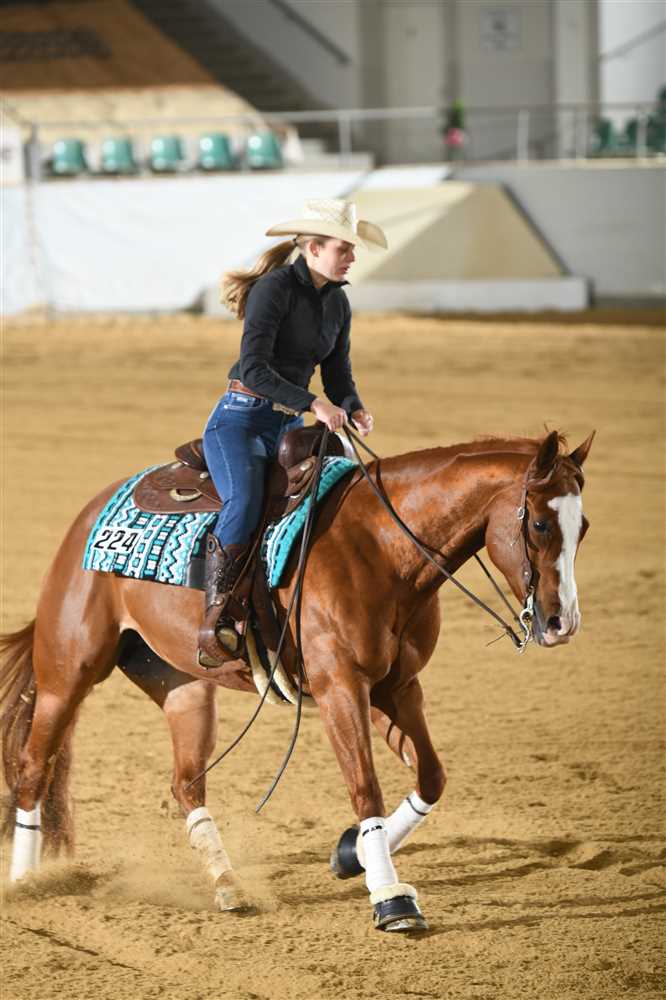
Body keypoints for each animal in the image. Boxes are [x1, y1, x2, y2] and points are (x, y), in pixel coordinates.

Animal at [1, 428, 593, 931]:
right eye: (540, 524)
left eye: (582, 527)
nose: (562, 624)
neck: (380, 546)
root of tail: (87, 518)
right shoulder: (341, 689)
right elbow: (365, 786)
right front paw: (392, 900)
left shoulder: (396, 687)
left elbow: (431, 777)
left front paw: (353, 855)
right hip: (67, 672)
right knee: (33, 766)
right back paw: (26, 881)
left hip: (181, 686)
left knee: (186, 783)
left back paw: (229, 884)